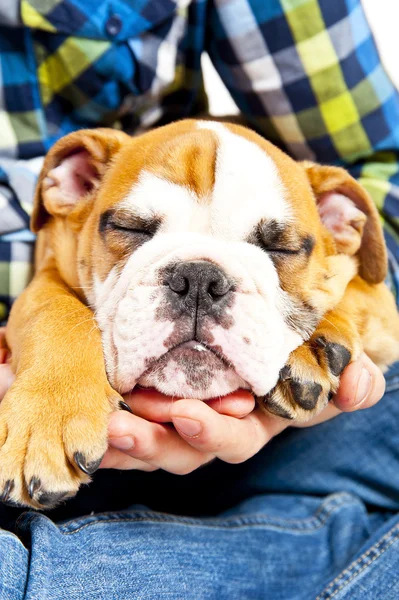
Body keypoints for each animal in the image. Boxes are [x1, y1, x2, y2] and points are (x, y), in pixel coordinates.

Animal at [2, 119, 399, 508]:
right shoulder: (48, 271)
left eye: (280, 248)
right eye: (130, 228)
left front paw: (310, 347)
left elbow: (354, 289)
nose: (198, 278)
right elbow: (52, 313)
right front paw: (46, 418)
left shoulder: (377, 295)